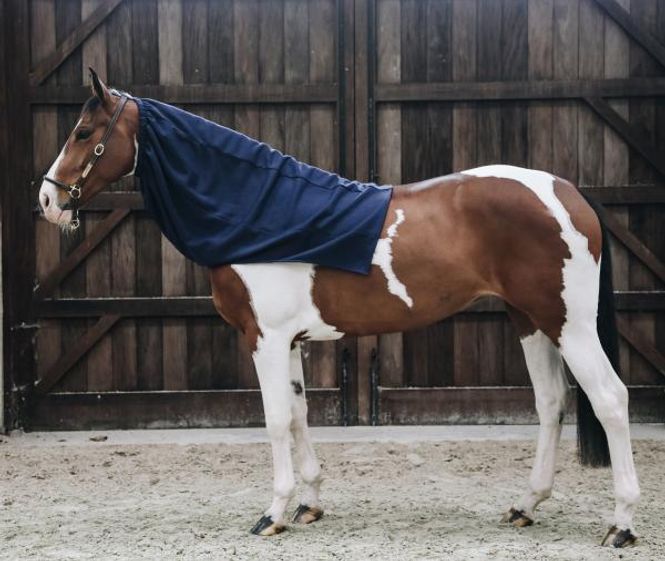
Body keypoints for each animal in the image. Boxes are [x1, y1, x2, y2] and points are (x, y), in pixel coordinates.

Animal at [37, 69, 639, 547]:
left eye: (84, 133)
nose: (48, 199)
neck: (259, 211)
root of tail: (569, 191)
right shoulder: (290, 343)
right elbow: (300, 414)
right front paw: (309, 504)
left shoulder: (264, 339)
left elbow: (276, 420)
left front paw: (272, 514)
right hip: (530, 321)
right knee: (551, 402)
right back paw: (526, 505)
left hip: (569, 325)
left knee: (610, 399)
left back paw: (622, 524)